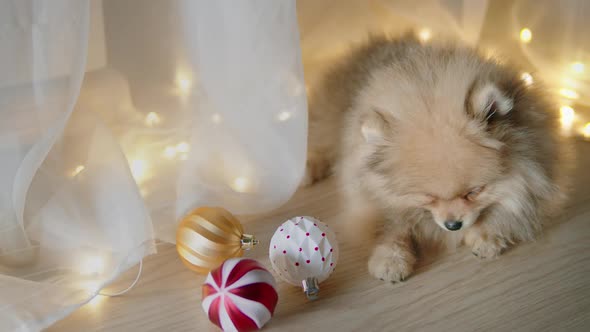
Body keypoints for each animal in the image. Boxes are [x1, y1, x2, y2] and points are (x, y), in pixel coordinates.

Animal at [302, 35, 572, 282]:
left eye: (474, 192)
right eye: (428, 197)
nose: (453, 224)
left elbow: (505, 206)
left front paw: (487, 236)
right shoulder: (370, 192)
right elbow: (391, 224)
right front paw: (391, 258)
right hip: (327, 119)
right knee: (317, 140)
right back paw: (309, 169)